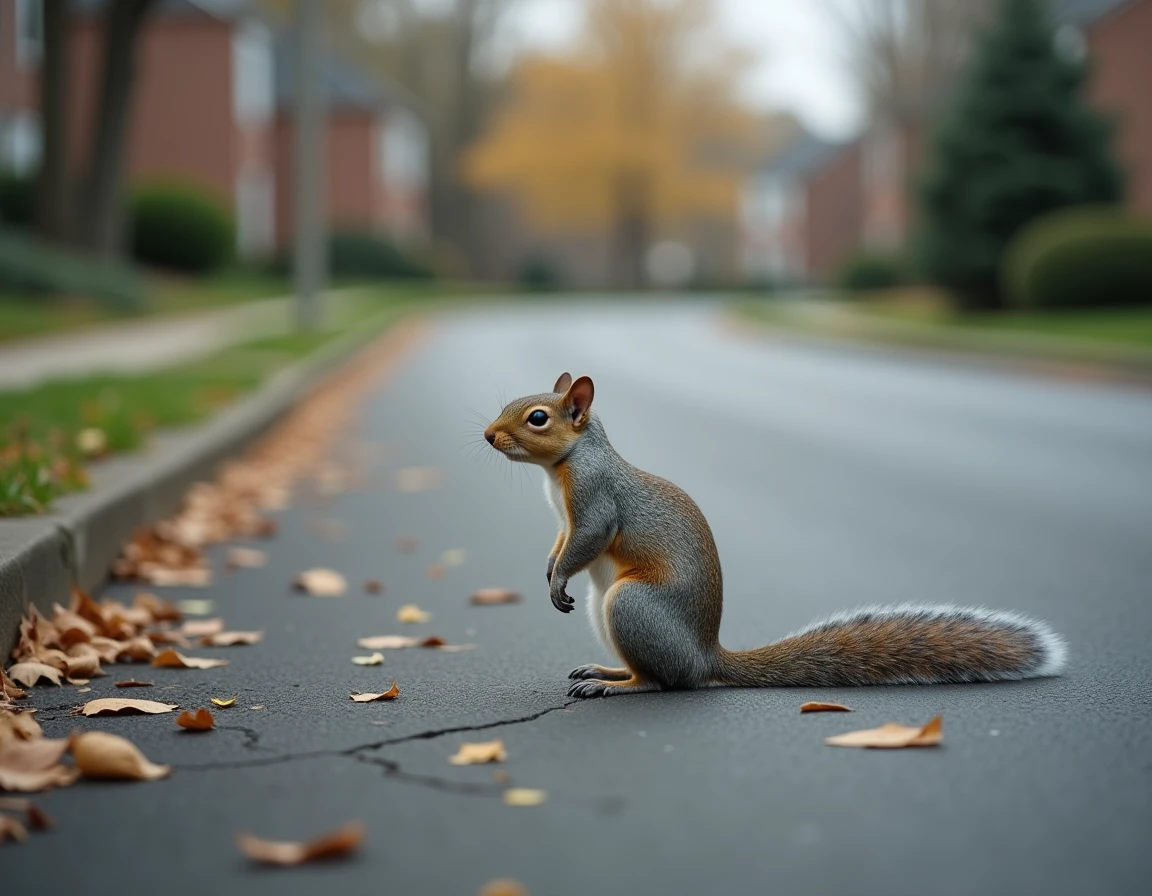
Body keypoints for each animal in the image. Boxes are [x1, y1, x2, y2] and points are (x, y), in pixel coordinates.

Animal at [484, 373, 1067, 699]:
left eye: (538, 418)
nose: (489, 435)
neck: (564, 467)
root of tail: (707, 657)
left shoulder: (596, 503)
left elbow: (586, 541)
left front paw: (557, 579)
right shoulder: (564, 521)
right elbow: (561, 544)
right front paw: (548, 568)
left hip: (630, 605)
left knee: (663, 681)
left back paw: (611, 684)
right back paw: (605, 668)